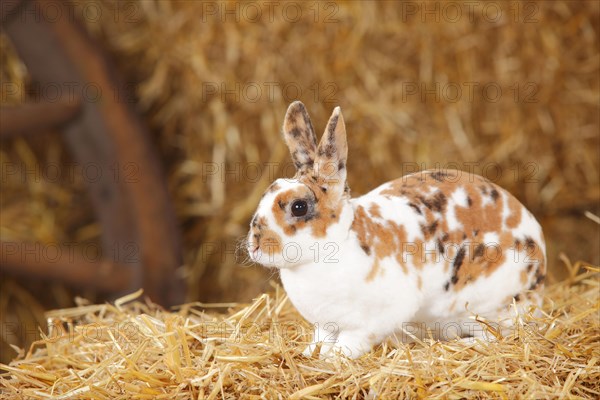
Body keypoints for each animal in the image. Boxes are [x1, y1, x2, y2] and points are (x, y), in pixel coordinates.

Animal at [246, 101, 548, 360]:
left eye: (298, 207)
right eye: (269, 191)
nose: (255, 245)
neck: (336, 245)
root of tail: (540, 276)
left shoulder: (370, 321)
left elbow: (351, 342)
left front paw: (334, 358)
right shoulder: (325, 325)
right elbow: (321, 339)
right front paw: (311, 354)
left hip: (487, 309)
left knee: (497, 336)